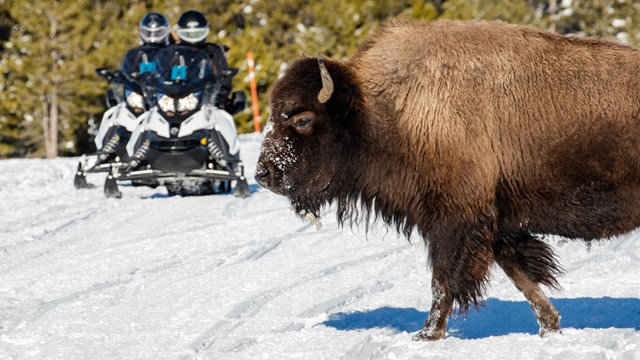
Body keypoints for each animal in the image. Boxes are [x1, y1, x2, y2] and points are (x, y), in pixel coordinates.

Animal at [252, 19, 640, 340]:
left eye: (302, 119)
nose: (263, 174)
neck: (378, 108)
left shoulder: (454, 220)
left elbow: (442, 282)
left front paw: (427, 335)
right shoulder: (498, 223)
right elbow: (521, 277)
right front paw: (549, 328)